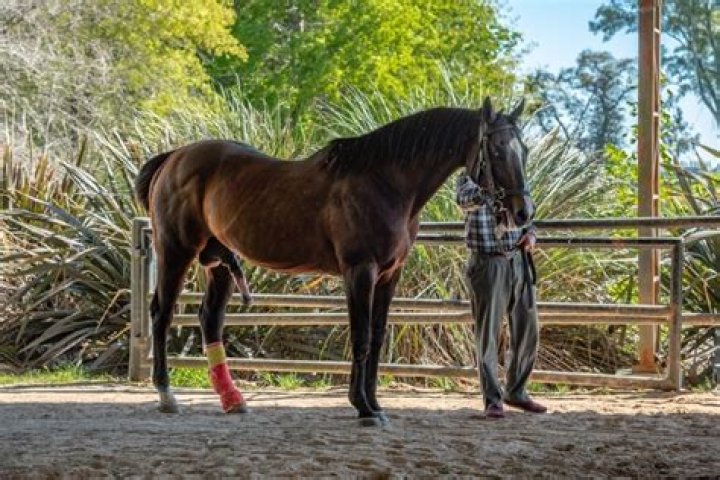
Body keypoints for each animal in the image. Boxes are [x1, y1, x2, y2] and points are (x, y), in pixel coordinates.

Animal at [134, 96, 532, 426]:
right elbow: (361, 336)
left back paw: (233, 400)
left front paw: (375, 405)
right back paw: (167, 395)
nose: (522, 212)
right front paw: (363, 407)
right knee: (162, 313)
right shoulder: (360, 270)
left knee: (210, 320)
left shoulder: (389, 275)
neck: (385, 182)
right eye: (497, 150)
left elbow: (377, 337)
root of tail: (173, 158)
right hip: (175, 251)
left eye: (524, 149)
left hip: (218, 263)